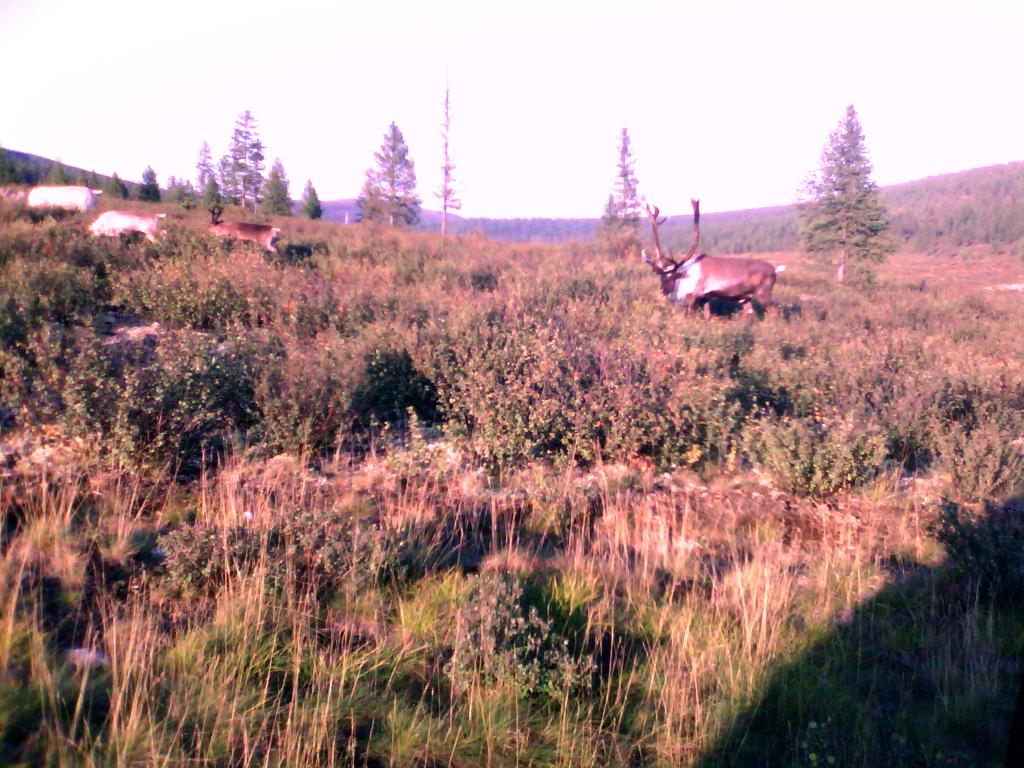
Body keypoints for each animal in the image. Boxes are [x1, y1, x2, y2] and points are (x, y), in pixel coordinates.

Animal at [641, 198, 784, 318]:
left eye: (671, 277)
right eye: (661, 277)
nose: (661, 292)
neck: (683, 278)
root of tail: (775, 269)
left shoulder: (694, 297)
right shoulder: (706, 298)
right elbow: (707, 316)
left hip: (763, 293)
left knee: (776, 311)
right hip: (746, 297)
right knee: (748, 312)